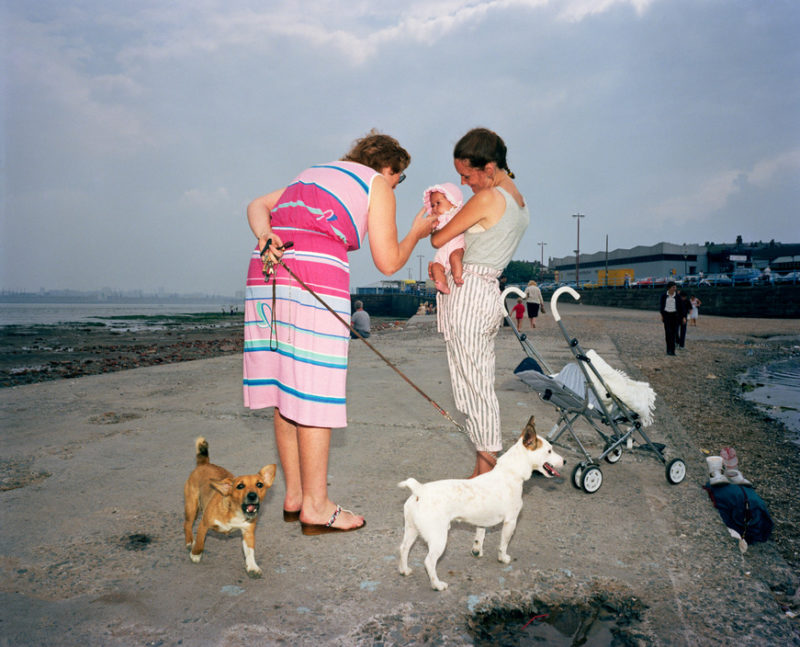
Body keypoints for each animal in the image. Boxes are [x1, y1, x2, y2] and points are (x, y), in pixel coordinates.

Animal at [184, 438, 276, 580]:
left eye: (259, 484)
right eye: (240, 486)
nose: (252, 495)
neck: (235, 512)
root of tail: (204, 464)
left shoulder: (248, 533)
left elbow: (250, 552)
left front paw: (252, 567)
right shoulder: (203, 525)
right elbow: (200, 542)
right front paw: (196, 554)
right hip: (192, 507)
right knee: (187, 524)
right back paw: (189, 542)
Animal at [398, 418, 564, 588]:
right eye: (549, 451)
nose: (564, 461)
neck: (511, 473)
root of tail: (419, 490)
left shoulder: (482, 521)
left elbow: (479, 537)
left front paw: (477, 552)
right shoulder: (510, 522)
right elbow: (503, 544)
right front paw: (503, 558)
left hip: (412, 530)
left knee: (403, 548)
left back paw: (404, 570)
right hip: (438, 537)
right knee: (429, 561)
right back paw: (437, 585)